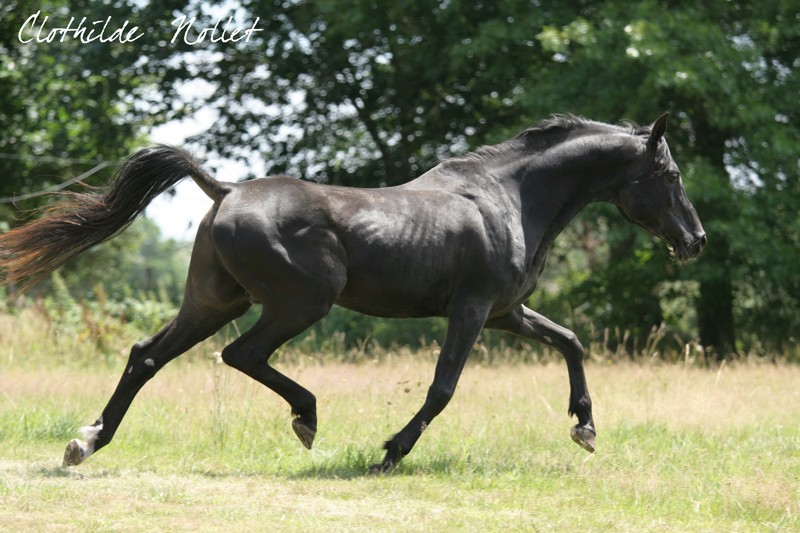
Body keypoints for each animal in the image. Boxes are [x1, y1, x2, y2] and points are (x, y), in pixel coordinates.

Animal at [0, 114, 704, 472]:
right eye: (669, 174)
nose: (695, 240)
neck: (510, 200)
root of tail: (226, 190)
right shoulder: (473, 310)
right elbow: (443, 388)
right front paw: (390, 452)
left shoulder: (507, 312)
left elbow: (571, 341)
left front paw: (585, 428)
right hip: (299, 302)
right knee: (242, 356)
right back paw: (307, 418)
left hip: (216, 301)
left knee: (147, 354)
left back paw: (86, 443)